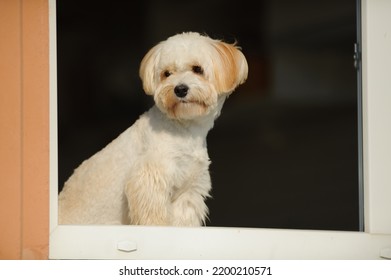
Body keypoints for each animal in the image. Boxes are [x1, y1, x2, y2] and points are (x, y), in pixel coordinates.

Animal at [58, 31, 248, 226]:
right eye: (167, 74)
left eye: (197, 69)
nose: (180, 89)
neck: (184, 130)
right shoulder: (150, 180)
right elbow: (155, 220)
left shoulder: (188, 192)